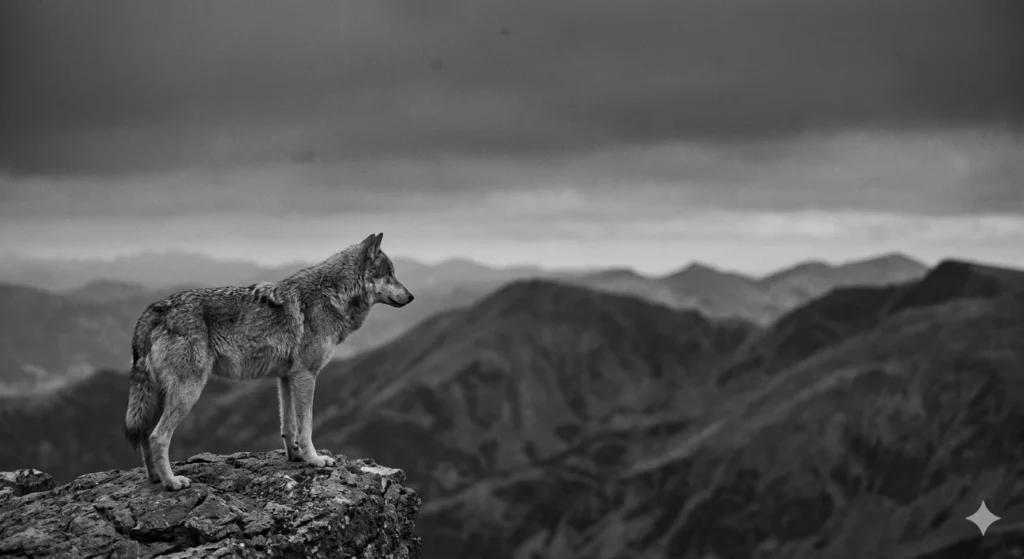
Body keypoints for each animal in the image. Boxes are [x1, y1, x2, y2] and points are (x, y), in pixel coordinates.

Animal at [123, 233, 413, 491]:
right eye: (389, 274)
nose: (411, 297)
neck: (333, 295)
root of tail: (152, 311)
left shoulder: (286, 377)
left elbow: (289, 425)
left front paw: (296, 457)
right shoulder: (306, 375)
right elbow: (306, 425)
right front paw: (315, 459)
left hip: (160, 395)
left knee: (145, 436)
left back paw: (155, 479)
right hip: (188, 391)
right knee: (158, 437)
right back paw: (172, 483)